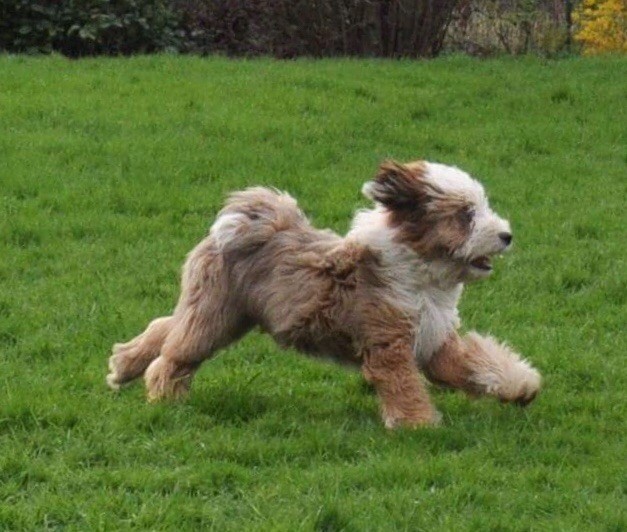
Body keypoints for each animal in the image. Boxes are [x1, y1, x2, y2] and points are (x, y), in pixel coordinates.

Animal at [107, 159, 541, 428]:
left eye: (481, 208)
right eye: (465, 215)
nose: (506, 235)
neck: (419, 274)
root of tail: (245, 222)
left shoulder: (434, 340)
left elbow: (475, 363)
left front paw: (521, 386)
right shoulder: (388, 342)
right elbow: (403, 384)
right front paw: (419, 426)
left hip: (223, 312)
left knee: (165, 328)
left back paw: (123, 365)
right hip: (216, 316)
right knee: (176, 354)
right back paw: (164, 395)